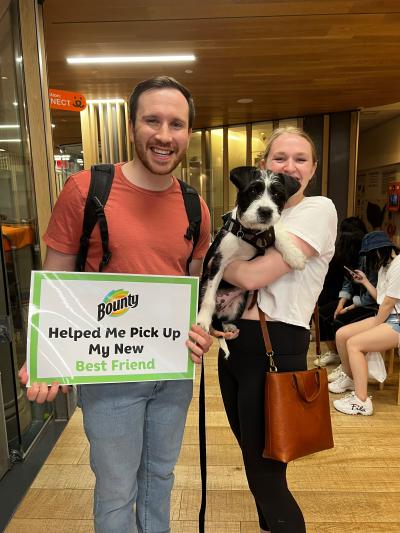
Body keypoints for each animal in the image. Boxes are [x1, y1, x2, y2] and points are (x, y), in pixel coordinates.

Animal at [197, 165, 306, 358]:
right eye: (253, 190)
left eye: (277, 194)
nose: (266, 211)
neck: (249, 233)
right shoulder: (218, 261)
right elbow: (209, 296)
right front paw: (203, 320)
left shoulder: (266, 236)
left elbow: (277, 231)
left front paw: (294, 255)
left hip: (240, 303)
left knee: (223, 321)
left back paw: (228, 326)